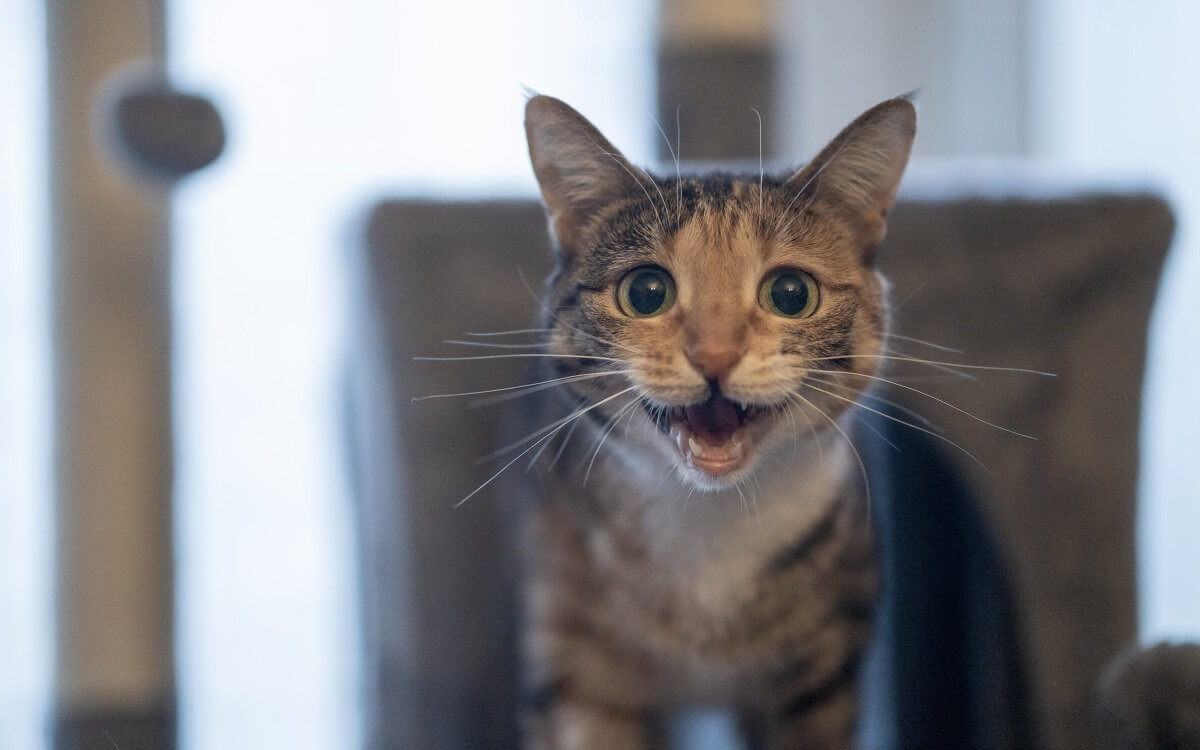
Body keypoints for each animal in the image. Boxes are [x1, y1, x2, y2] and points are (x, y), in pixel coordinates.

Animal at [511, 94, 912, 748]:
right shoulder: (578, 665)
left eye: (791, 293)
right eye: (645, 292)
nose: (716, 356)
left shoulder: (821, 675)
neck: (708, 519)